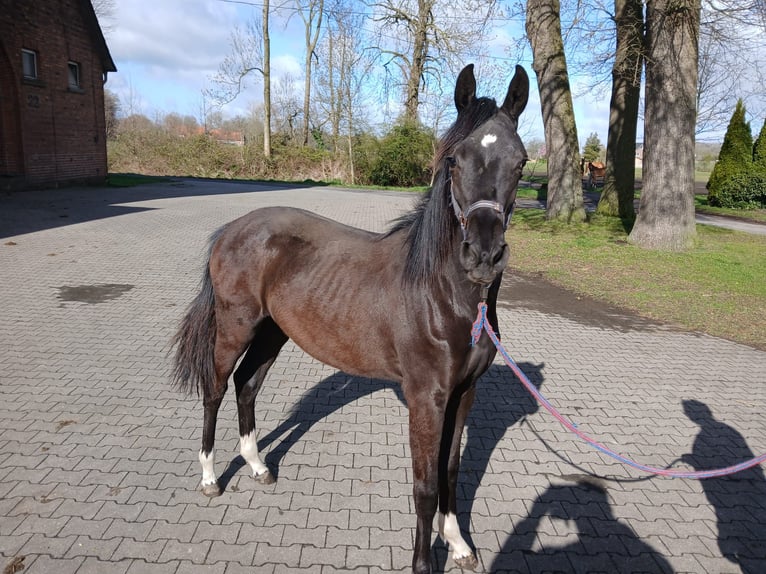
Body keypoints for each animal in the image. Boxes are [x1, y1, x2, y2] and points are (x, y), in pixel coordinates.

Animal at [171, 63, 529, 574]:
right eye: (455, 161)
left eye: (520, 163)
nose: (483, 255)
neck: (443, 296)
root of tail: (231, 230)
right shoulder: (425, 399)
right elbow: (424, 485)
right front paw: (424, 562)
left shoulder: (464, 394)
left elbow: (451, 470)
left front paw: (459, 544)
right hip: (235, 328)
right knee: (216, 388)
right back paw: (209, 478)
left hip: (273, 332)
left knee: (247, 385)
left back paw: (258, 466)